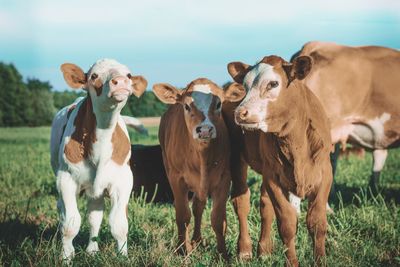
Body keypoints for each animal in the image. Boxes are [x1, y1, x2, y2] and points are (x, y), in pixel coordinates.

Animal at [50, 59, 147, 262]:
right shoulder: (66, 179)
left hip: (96, 189)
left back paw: (92, 250)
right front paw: (66, 258)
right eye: (94, 76)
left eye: (128, 75)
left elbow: (119, 224)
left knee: (95, 215)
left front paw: (123, 257)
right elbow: (70, 223)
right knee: (63, 211)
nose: (120, 81)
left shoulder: (123, 181)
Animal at [152, 78, 244, 260]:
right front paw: (182, 250)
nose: (205, 129)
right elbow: (182, 215)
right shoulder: (177, 179)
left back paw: (197, 240)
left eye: (219, 104)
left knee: (198, 207)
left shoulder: (224, 180)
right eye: (187, 106)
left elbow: (218, 219)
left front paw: (222, 254)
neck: (202, 155)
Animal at [223, 55, 332, 266]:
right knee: (241, 202)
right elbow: (287, 224)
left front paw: (321, 260)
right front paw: (292, 262)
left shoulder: (324, 174)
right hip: (236, 159)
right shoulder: (273, 178)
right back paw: (245, 251)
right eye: (245, 85)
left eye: (273, 84)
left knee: (265, 205)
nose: (240, 113)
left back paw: (264, 250)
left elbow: (317, 222)